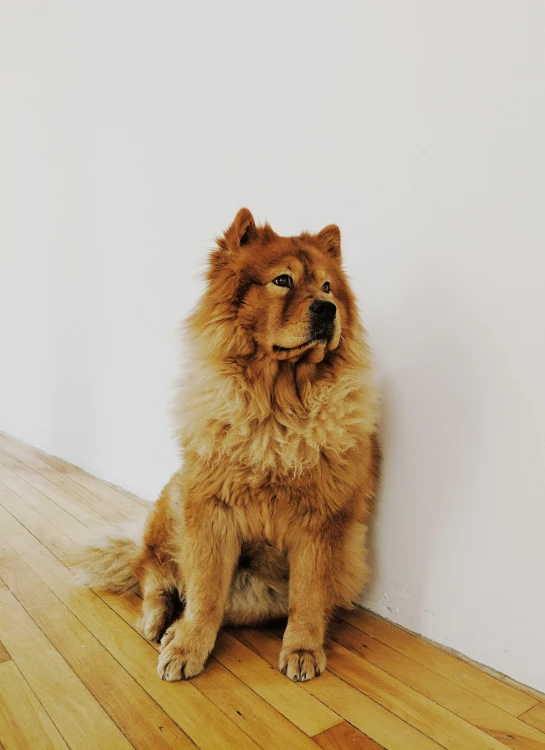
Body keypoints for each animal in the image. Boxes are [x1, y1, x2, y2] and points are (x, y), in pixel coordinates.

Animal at [75, 210, 378, 680]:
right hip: (173, 502)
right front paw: (188, 648)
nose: (327, 309)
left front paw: (303, 650)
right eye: (283, 281)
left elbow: (309, 597)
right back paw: (158, 622)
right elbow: (204, 591)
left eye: (328, 288)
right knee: (153, 572)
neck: (278, 405)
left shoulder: (322, 523)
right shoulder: (211, 510)